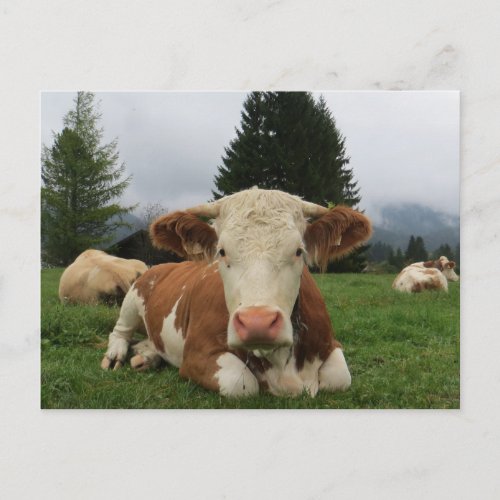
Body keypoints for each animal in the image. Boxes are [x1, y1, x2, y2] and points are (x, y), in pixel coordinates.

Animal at [101, 188, 374, 398]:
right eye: (221, 251)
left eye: (298, 251)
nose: (257, 323)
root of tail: (165, 264)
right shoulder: (196, 355)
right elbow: (241, 383)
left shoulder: (331, 344)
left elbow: (340, 378)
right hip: (132, 298)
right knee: (120, 332)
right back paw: (115, 355)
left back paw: (146, 356)